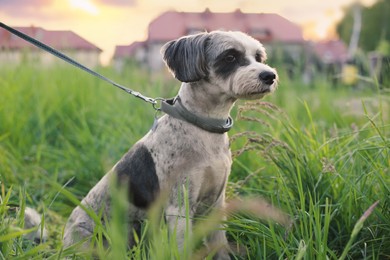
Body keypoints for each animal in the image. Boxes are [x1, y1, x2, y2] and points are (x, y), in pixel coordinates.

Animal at [63, 30, 278, 258]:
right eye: (230, 57)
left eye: (258, 57)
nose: (269, 75)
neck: (203, 128)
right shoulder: (180, 207)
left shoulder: (216, 202)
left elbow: (219, 243)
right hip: (87, 238)